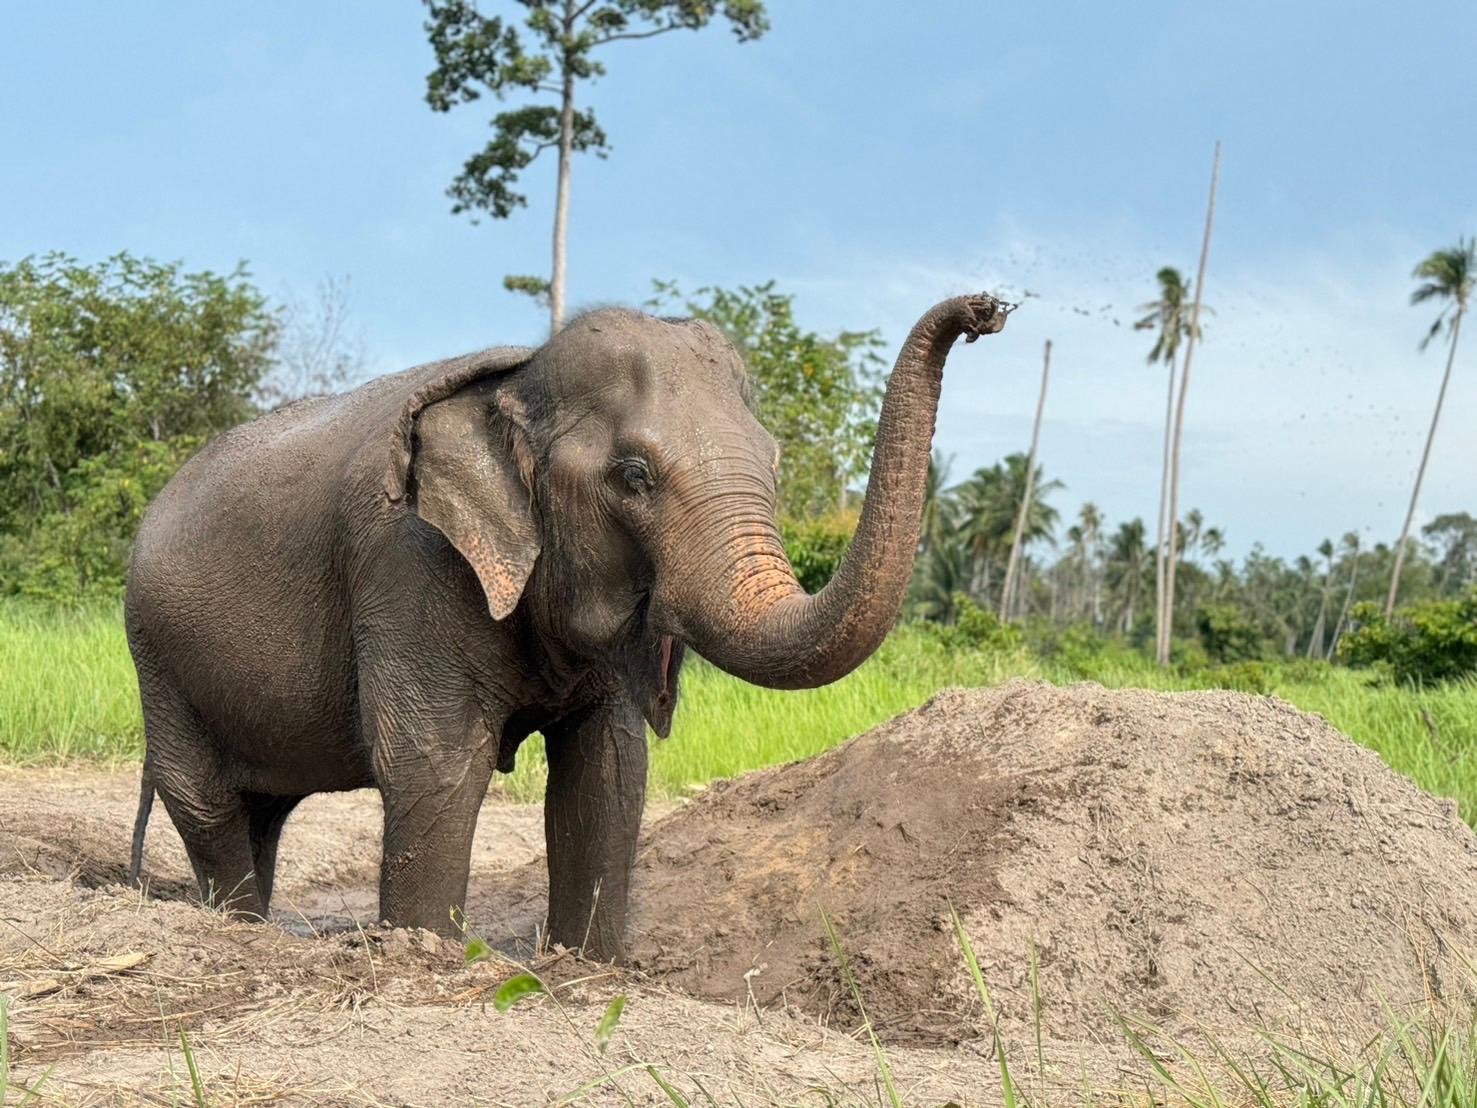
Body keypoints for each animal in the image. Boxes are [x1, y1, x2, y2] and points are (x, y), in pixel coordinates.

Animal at [123, 292, 1008, 962]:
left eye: (776, 462)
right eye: (634, 476)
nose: (986, 312)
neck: (518, 380)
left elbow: (608, 770)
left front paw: (589, 966)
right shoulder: (410, 564)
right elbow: (436, 761)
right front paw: (427, 953)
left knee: (263, 809)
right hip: (155, 652)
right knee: (205, 799)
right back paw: (236, 928)